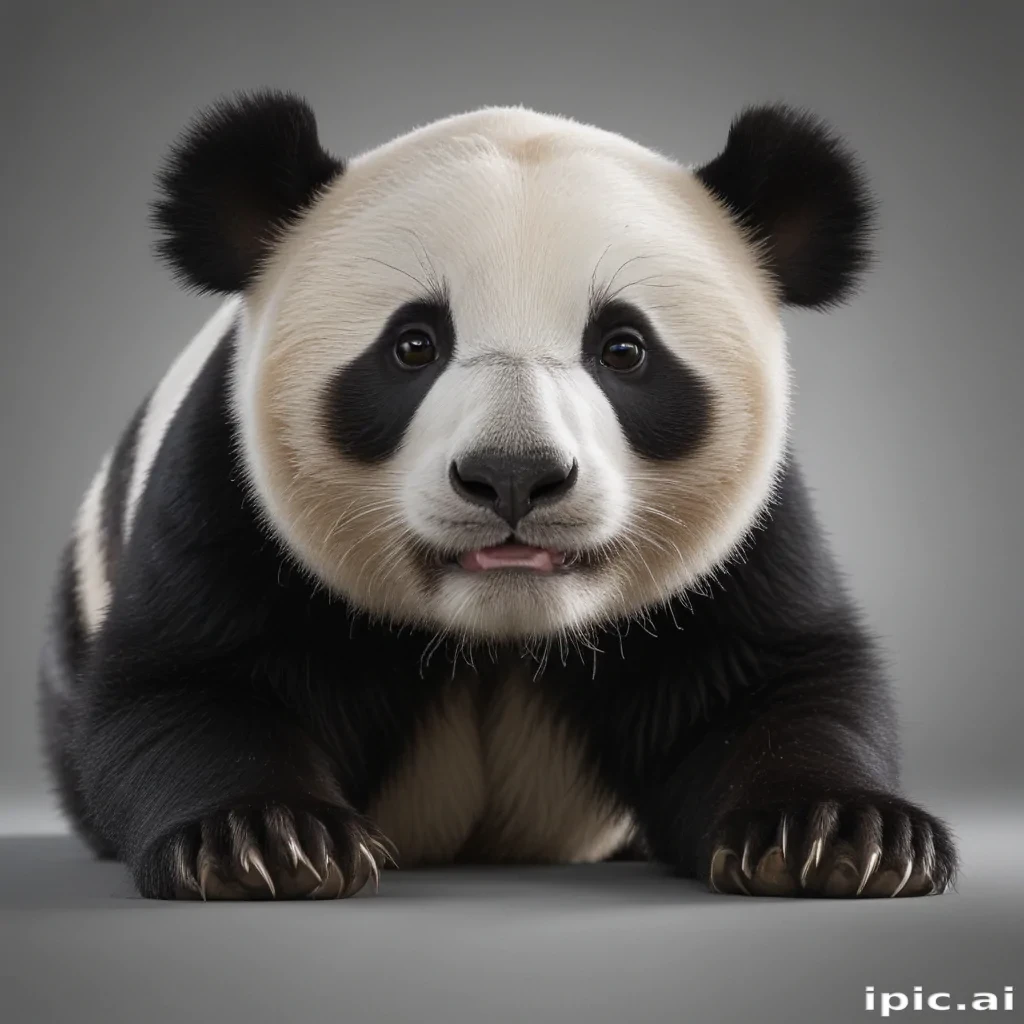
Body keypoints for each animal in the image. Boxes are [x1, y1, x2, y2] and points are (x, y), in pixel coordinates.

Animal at [38, 90, 958, 901]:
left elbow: (773, 683)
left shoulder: (746, 543)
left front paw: (838, 839)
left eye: (624, 347)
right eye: (413, 344)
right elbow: (187, 686)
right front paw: (261, 841)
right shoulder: (231, 498)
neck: (500, 632)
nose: (514, 474)